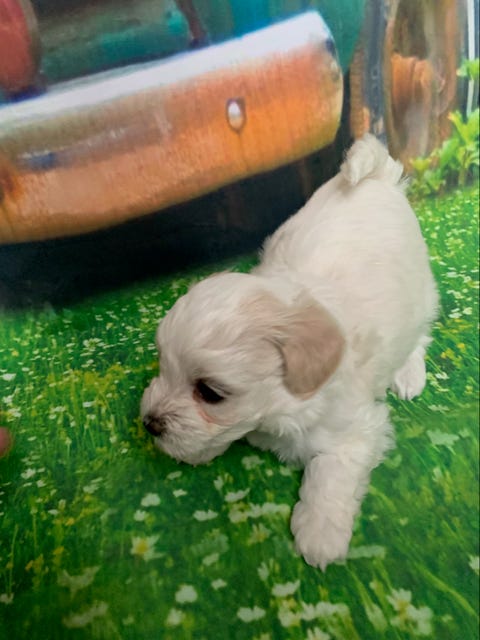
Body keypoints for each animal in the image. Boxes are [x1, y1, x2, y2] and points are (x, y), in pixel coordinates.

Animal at [141, 134, 438, 569]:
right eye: (163, 365)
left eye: (210, 393)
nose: (149, 423)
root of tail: (377, 178)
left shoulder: (355, 428)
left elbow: (331, 472)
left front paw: (319, 535)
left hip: (419, 292)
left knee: (420, 334)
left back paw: (409, 375)